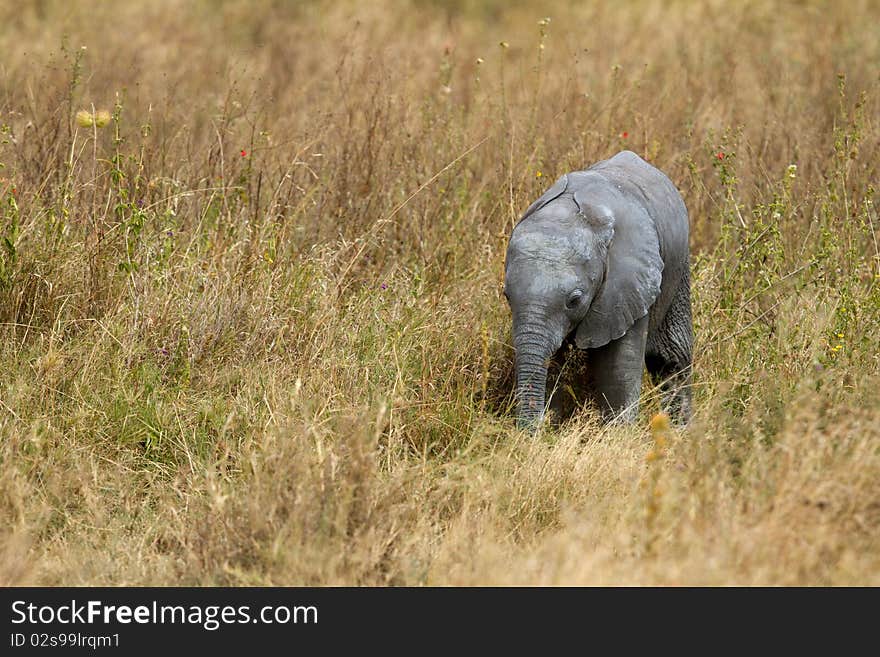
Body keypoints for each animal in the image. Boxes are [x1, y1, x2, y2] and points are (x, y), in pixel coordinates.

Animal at [506, 151, 692, 434]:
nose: (531, 434)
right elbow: (553, 367)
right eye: (506, 296)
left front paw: (618, 436)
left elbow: (617, 371)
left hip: (678, 269)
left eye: (574, 300)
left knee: (672, 359)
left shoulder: (627, 283)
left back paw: (679, 434)